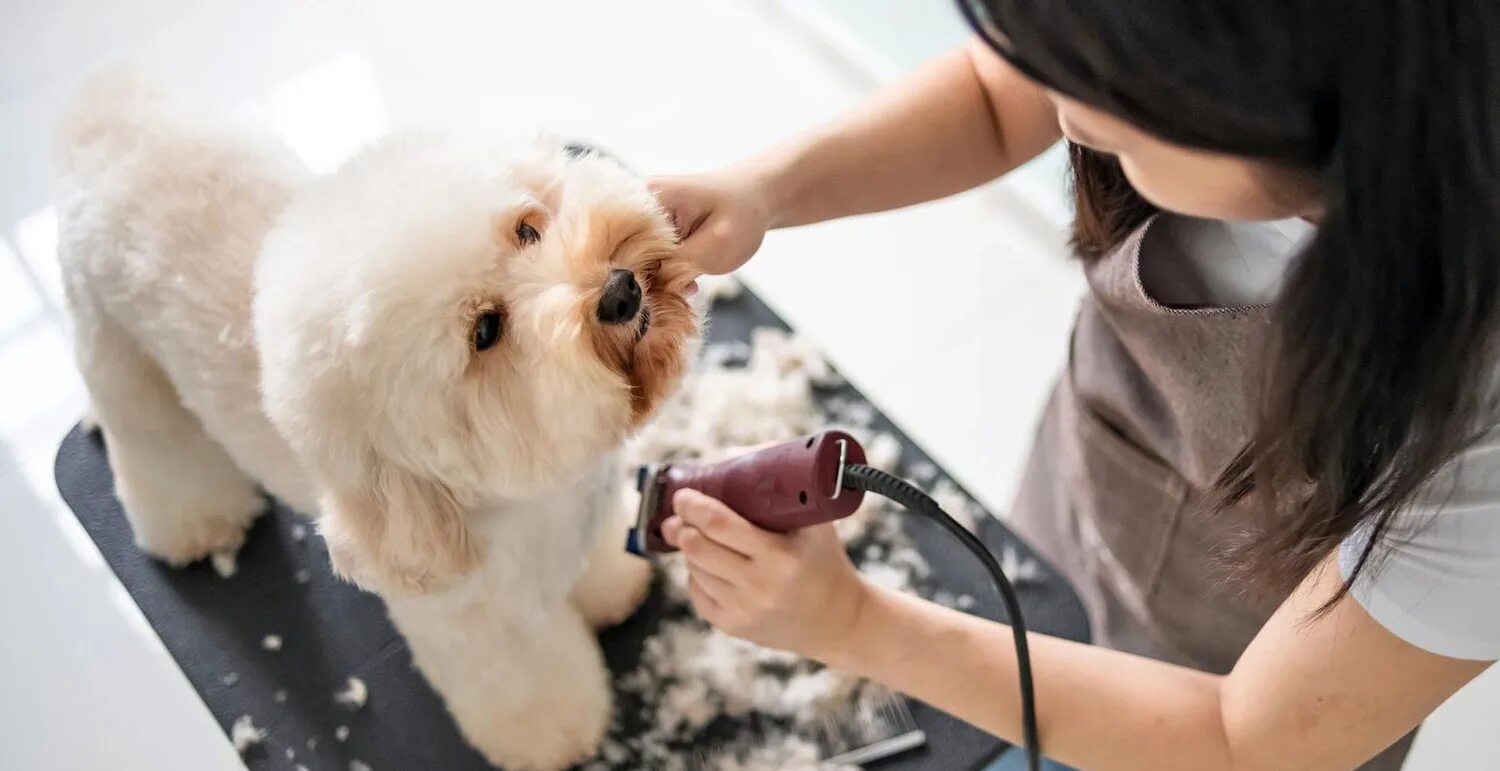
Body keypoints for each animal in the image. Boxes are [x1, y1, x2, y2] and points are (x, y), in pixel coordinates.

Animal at [52, 79, 696, 768]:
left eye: (527, 228)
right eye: (485, 331)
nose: (621, 291)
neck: (531, 503)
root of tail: (101, 107)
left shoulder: (581, 515)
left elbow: (594, 566)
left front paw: (613, 590)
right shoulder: (481, 626)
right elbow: (525, 684)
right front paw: (558, 736)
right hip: (117, 353)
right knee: (159, 451)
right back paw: (195, 527)